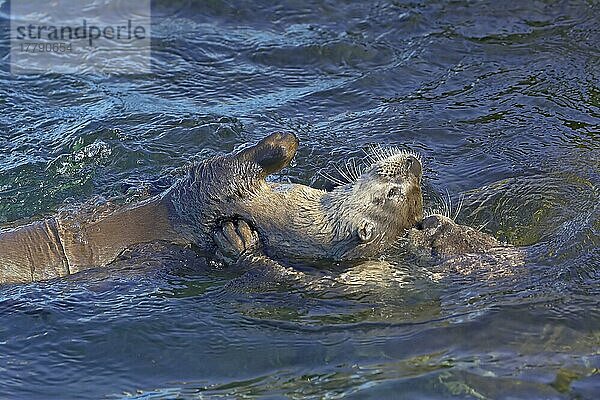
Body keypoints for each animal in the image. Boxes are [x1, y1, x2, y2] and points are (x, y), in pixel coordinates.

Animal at [1, 133, 422, 286]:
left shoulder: (215, 188)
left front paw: (284, 141)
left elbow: (234, 164)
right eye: (406, 190)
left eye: (392, 191)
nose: (413, 165)